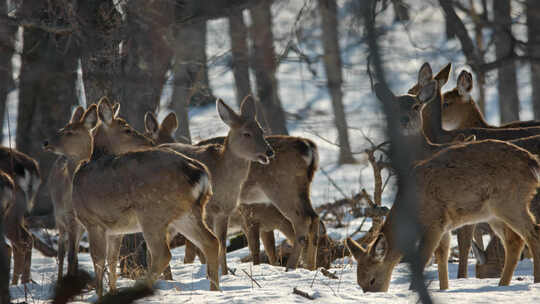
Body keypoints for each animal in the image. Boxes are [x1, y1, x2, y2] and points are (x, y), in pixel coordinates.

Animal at [42, 100, 219, 296]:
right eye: (127, 129)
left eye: (68, 131)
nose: (46, 142)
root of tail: (200, 174)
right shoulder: (116, 229)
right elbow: (112, 259)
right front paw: (111, 292)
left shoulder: (92, 221)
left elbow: (98, 260)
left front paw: (100, 294)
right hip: (187, 213)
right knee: (211, 242)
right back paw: (215, 290)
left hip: (152, 213)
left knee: (162, 254)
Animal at [143, 105, 322, 270]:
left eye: (147, 138)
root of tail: (308, 147)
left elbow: (193, 250)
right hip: (300, 190)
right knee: (313, 218)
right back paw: (310, 266)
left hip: (283, 188)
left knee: (302, 220)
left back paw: (292, 266)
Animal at [346, 67, 540, 292]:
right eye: (359, 283)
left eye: (371, 279)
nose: (372, 294)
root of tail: (532, 162)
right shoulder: (445, 227)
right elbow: (442, 257)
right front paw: (445, 288)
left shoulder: (434, 223)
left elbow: (425, 259)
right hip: (494, 212)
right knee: (515, 241)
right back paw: (502, 284)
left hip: (510, 202)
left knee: (532, 233)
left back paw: (532, 281)